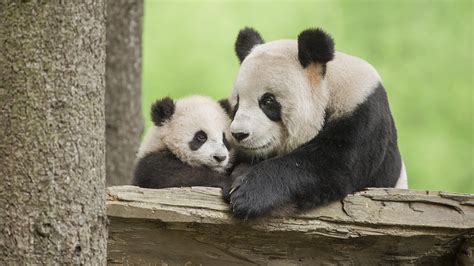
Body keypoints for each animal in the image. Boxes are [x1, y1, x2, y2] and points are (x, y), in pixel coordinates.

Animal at [226, 27, 408, 218]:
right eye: (237, 102)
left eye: (268, 101)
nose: (239, 134)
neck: (330, 86)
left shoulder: (364, 114)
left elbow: (330, 166)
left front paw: (247, 194)